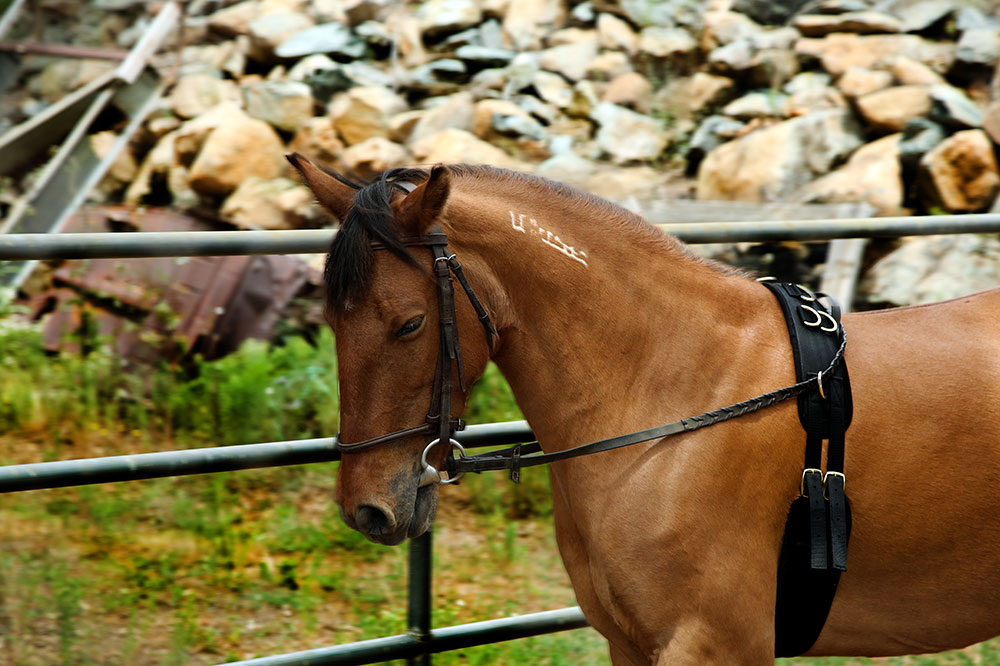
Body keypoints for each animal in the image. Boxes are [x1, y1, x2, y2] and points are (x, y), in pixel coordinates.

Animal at [287, 152, 1000, 665]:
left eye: (409, 324)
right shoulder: (628, 643)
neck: (676, 397)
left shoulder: (714, 645)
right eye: (330, 320)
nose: (368, 510)